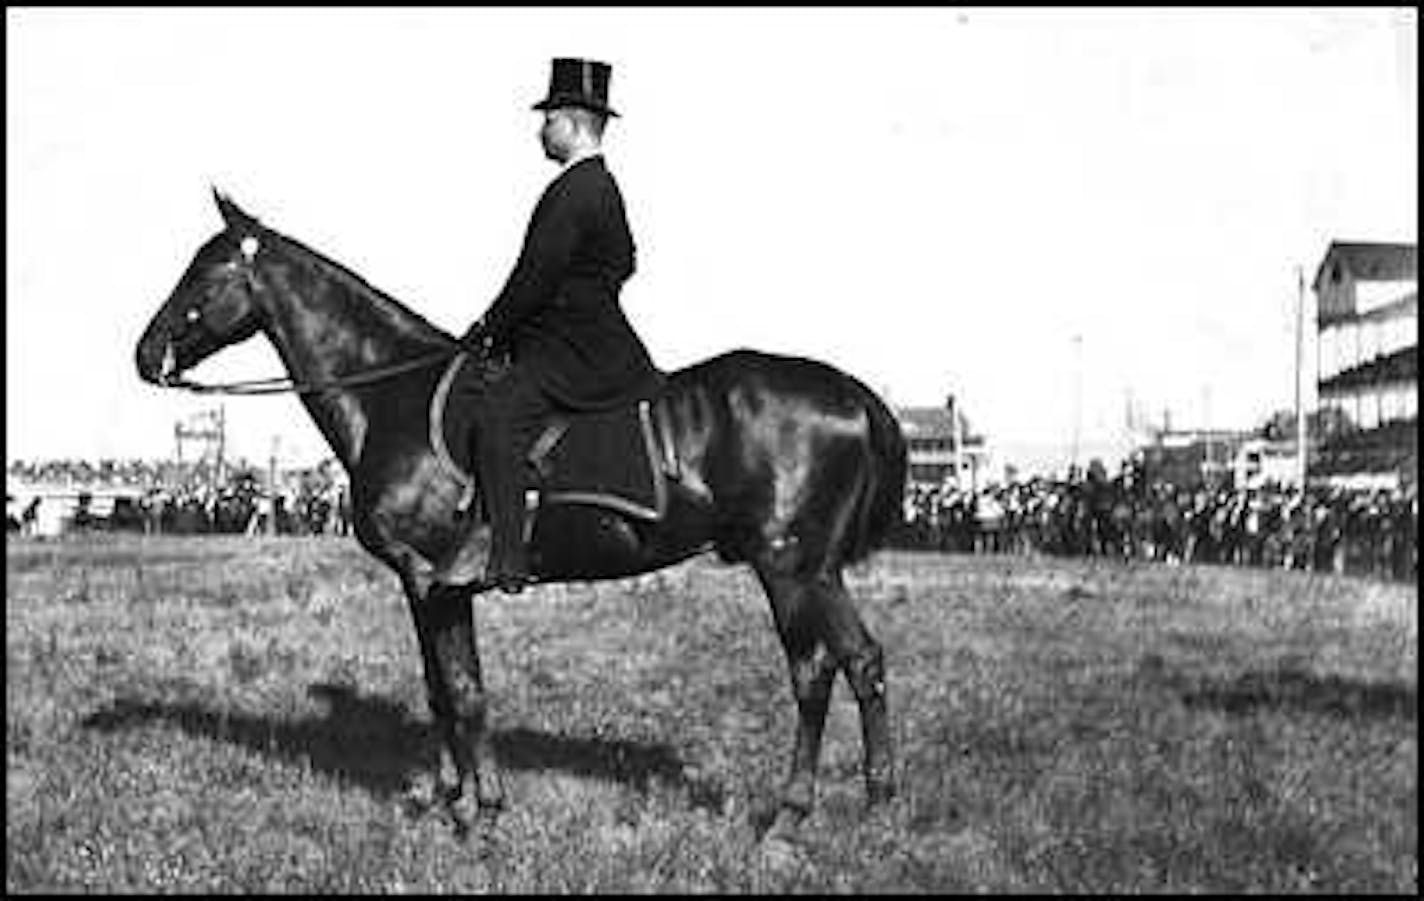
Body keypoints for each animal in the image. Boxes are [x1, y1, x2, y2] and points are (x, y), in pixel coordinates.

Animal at [135, 193, 911, 842]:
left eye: (206, 272)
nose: (146, 354)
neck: (392, 396)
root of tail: (851, 394)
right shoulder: (423, 588)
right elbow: (440, 692)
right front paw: (446, 798)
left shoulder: (436, 581)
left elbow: (467, 693)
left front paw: (484, 812)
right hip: (815, 571)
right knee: (858, 661)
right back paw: (875, 803)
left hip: (790, 567)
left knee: (820, 671)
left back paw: (792, 817)